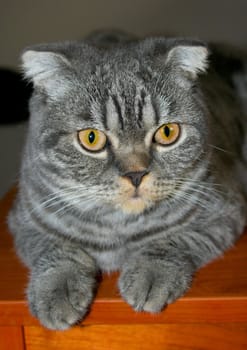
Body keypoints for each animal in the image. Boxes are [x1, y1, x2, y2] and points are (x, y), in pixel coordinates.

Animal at [7, 31, 247, 330]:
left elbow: (173, 241)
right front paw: (57, 289)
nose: (136, 174)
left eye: (168, 132)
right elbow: (57, 249)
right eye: (91, 138)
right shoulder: (24, 221)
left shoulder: (225, 211)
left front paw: (151, 273)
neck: (117, 228)